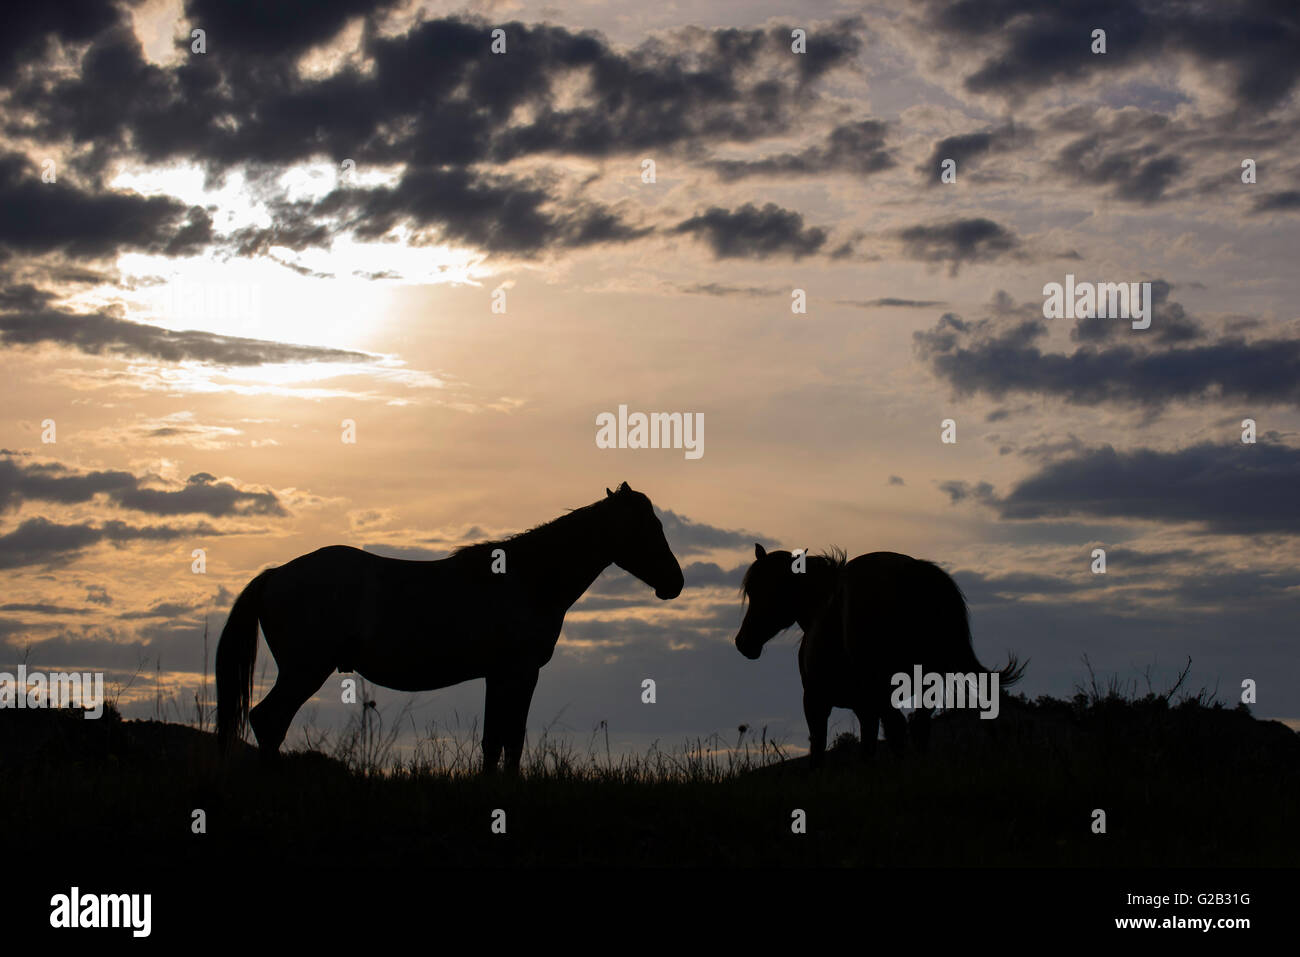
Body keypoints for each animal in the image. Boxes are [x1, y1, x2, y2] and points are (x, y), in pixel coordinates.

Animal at [215, 481, 681, 774]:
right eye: (646, 527)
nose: (675, 583)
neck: (528, 579)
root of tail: (275, 574)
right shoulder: (520, 672)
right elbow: (512, 739)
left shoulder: (498, 675)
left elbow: (495, 741)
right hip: (304, 670)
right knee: (268, 720)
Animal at [738, 546, 1019, 769]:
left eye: (761, 590)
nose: (743, 643)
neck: (822, 606)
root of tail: (915, 572)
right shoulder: (865, 708)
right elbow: (867, 749)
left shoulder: (816, 701)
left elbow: (818, 748)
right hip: (926, 683)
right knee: (919, 728)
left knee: (898, 729)